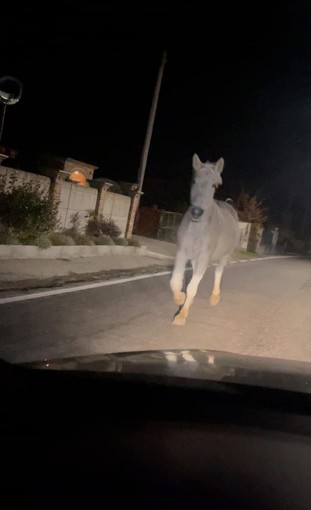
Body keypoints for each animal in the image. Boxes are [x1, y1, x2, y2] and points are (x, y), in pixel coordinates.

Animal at [171, 153, 239, 324]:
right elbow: (176, 281)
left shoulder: (205, 257)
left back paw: (215, 297)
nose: (196, 212)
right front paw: (180, 298)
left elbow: (192, 287)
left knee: (218, 272)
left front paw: (181, 315)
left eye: (214, 185)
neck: (198, 228)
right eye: (193, 181)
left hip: (224, 255)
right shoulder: (182, 252)